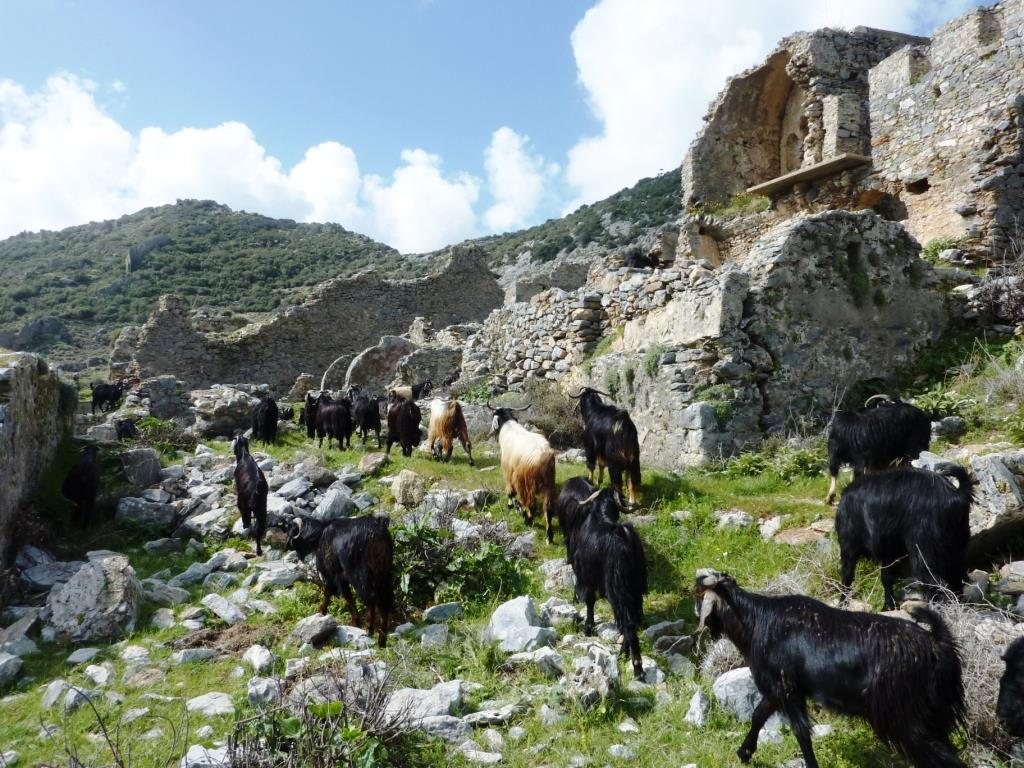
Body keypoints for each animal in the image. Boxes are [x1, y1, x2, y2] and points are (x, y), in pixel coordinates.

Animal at [286, 514, 393, 647]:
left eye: (291, 530)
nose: (287, 544)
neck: (321, 534)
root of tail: (377, 533)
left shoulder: (334, 573)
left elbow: (336, 594)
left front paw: (322, 612)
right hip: (384, 574)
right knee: (385, 602)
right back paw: (382, 640)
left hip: (362, 574)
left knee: (371, 599)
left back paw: (369, 629)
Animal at [565, 487, 643, 679]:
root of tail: (624, 535)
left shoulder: (586, 577)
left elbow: (589, 601)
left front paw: (588, 628)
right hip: (635, 587)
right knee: (631, 618)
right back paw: (623, 654)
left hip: (617, 588)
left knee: (627, 622)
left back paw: (637, 667)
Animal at [696, 573, 966, 768]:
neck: (756, 622)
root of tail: (937, 644)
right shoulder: (778, 688)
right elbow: (758, 715)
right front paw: (744, 753)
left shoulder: (787, 689)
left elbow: (801, 732)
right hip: (933, 713)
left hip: (908, 717)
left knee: (942, 755)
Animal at [835, 462, 970, 614]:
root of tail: (956, 495)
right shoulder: (887, 550)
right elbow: (886, 577)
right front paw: (889, 605)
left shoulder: (849, 545)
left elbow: (847, 578)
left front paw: (842, 604)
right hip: (955, 545)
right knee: (956, 578)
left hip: (923, 549)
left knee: (931, 581)